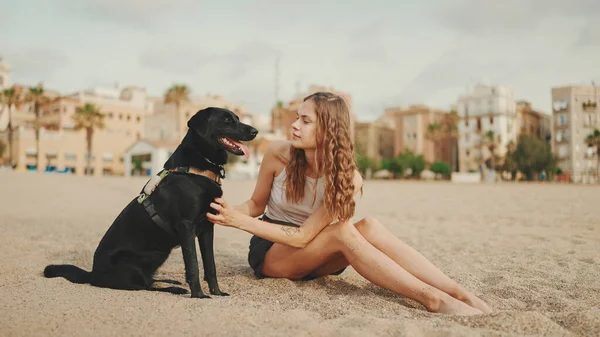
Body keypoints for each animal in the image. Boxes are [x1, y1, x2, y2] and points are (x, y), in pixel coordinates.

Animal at [42, 107, 258, 296]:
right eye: (227, 120)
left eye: (237, 118)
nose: (255, 131)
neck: (195, 169)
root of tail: (92, 274)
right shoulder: (186, 226)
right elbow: (194, 264)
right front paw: (198, 295)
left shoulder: (207, 228)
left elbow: (210, 265)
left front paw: (217, 292)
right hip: (133, 264)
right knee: (143, 286)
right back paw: (174, 289)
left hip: (157, 256)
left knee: (149, 281)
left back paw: (170, 281)